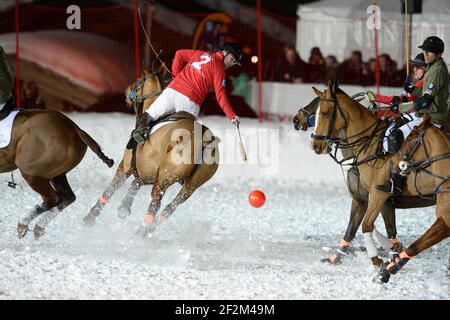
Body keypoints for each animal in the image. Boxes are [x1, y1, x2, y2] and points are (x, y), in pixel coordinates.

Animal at [0, 109, 112, 238]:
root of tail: (74, 128)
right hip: (58, 175)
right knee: (68, 198)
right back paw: (38, 226)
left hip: (32, 172)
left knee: (53, 198)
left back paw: (25, 224)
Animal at [83, 69, 221, 238]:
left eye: (138, 80)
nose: (126, 91)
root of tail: (203, 140)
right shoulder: (148, 170)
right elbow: (136, 183)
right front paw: (124, 207)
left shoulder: (126, 165)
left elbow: (112, 188)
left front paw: (91, 217)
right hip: (190, 186)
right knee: (171, 207)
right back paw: (149, 228)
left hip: (164, 178)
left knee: (156, 202)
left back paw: (141, 232)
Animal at [312, 80, 450, 282]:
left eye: (324, 113)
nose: (316, 145)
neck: (365, 148)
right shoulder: (363, 199)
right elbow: (355, 229)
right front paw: (334, 258)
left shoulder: (379, 195)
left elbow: (367, 226)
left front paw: (378, 260)